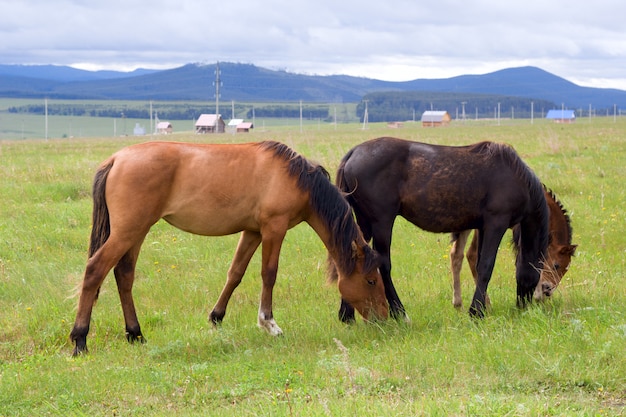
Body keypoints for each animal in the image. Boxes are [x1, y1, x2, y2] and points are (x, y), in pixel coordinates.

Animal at [70, 140, 388, 354]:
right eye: (371, 281)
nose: (384, 319)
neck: (297, 179)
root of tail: (115, 159)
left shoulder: (252, 231)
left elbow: (235, 273)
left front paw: (216, 317)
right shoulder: (274, 228)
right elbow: (268, 274)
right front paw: (269, 324)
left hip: (136, 232)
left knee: (124, 275)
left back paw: (135, 334)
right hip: (128, 232)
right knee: (95, 270)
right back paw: (80, 339)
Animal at [334, 138, 548, 320]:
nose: (524, 305)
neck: (515, 176)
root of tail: (354, 153)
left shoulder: (482, 227)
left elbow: (478, 264)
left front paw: (480, 307)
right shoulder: (496, 223)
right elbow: (486, 266)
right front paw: (476, 312)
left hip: (363, 223)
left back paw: (347, 315)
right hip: (382, 222)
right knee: (383, 264)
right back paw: (399, 312)